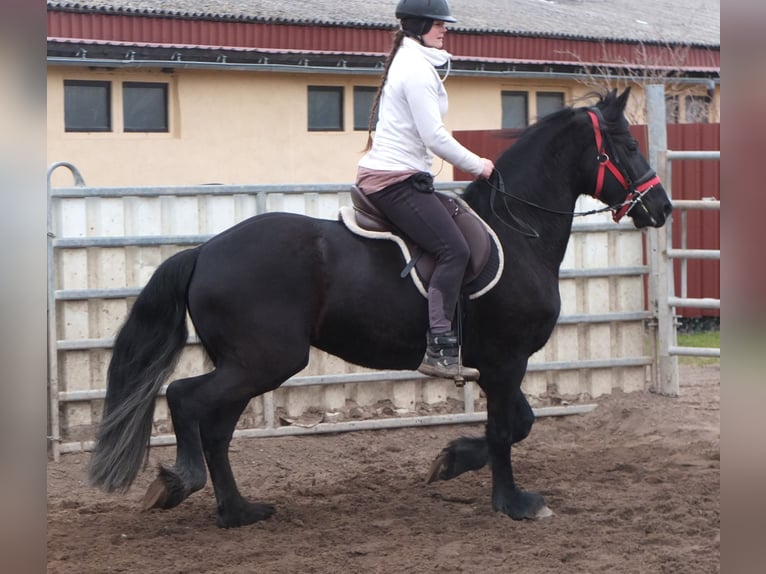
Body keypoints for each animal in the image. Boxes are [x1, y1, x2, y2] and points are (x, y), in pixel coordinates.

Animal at [88, 88, 672, 528]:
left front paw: (450, 461)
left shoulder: (494, 364)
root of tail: (205, 250)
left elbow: (518, 424)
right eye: (625, 144)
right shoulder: (507, 361)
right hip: (264, 361)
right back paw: (181, 483)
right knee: (187, 399)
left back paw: (238, 511)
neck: (516, 230)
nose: (662, 208)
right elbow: (506, 430)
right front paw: (513, 504)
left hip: (246, 365)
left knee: (215, 426)